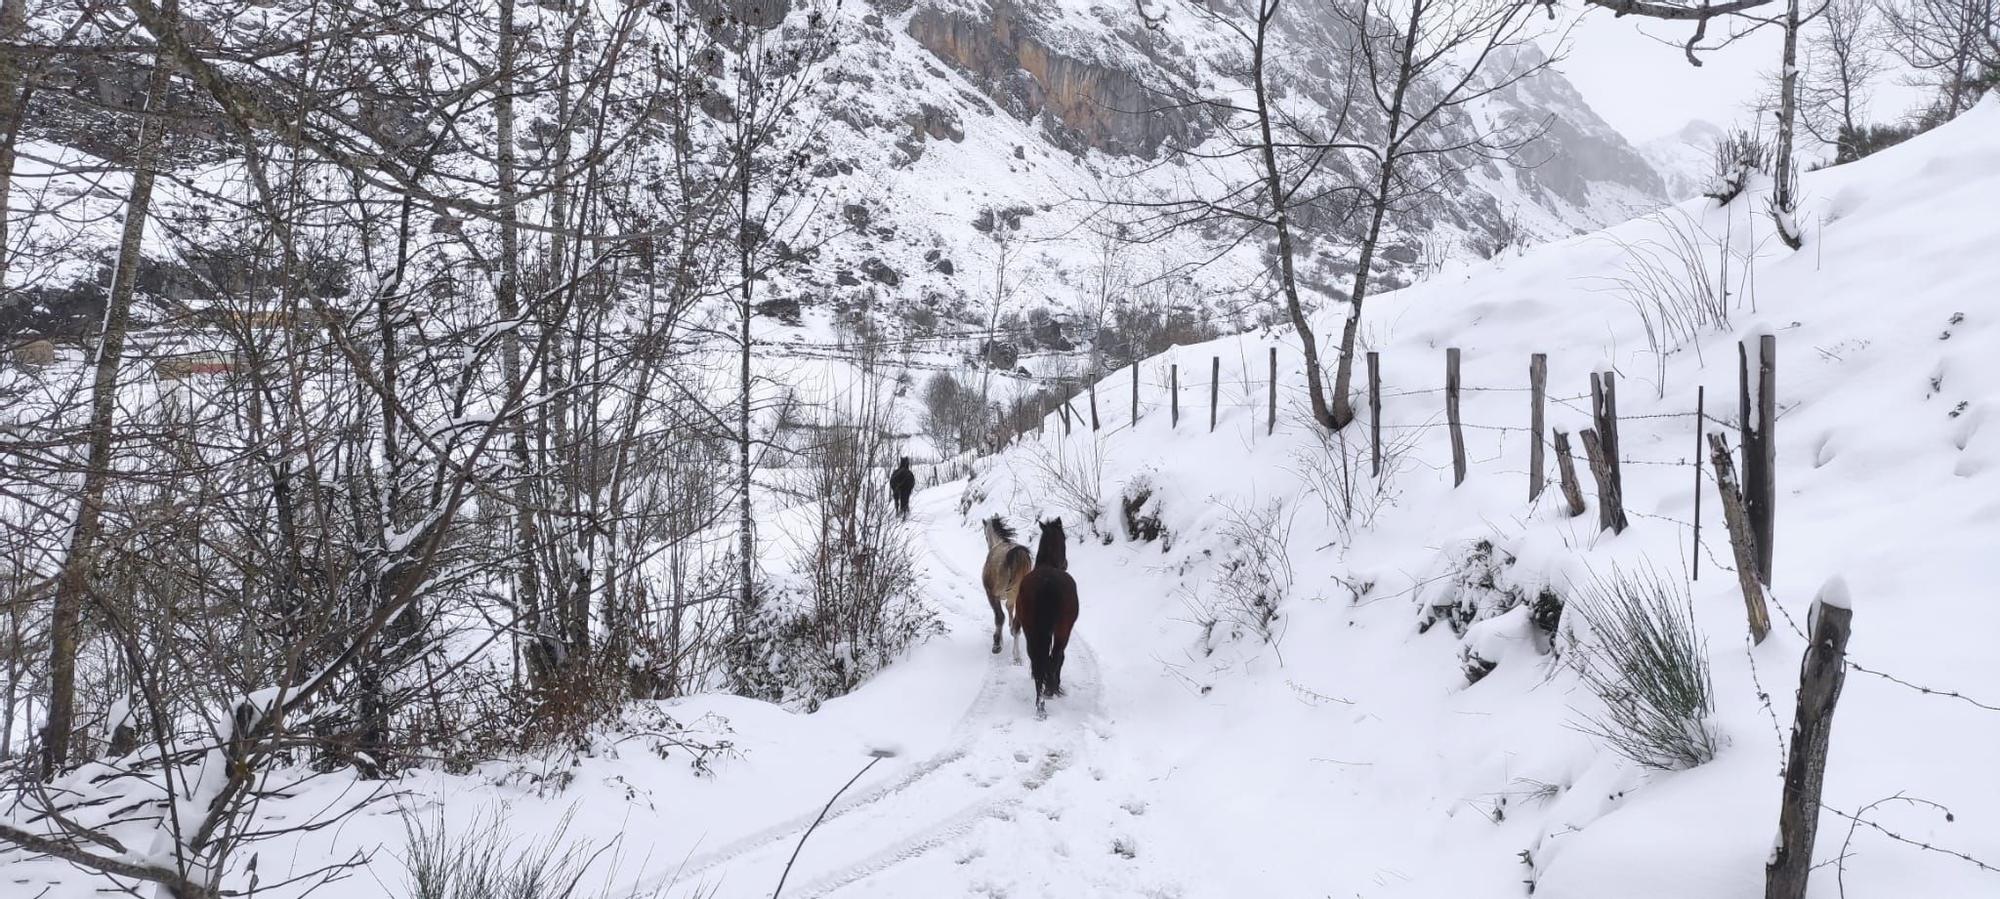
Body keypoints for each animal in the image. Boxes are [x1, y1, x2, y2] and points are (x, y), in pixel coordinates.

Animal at [1016, 519, 1080, 715]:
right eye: (1064, 537)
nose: (1065, 563)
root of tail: (1047, 583)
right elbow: (1058, 658)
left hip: (1031, 630)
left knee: (1037, 661)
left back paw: (1040, 705)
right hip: (1062, 630)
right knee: (1056, 657)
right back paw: (1049, 691)